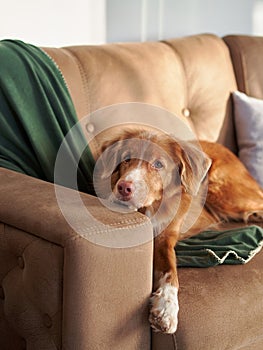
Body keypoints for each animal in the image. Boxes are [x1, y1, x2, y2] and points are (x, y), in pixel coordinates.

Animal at [95, 128, 263, 334]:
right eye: (127, 158)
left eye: (158, 164)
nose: (124, 187)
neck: (151, 207)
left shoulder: (165, 237)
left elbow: (170, 271)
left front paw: (167, 309)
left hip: (223, 192)